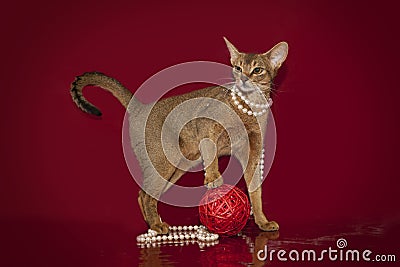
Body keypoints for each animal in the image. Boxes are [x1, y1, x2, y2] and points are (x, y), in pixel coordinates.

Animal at [69, 38, 288, 234]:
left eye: (257, 70)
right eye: (238, 68)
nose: (243, 79)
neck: (248, 108)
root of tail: (141, 107)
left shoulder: (252, 154)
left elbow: (255, 192)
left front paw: (262, 221)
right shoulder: (207, 128)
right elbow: (212, 157)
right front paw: (213, 178)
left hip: (177, 167)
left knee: (143, 193)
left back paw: (153, 224)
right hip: (164, 162)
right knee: (145, 195)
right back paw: (156, 226)